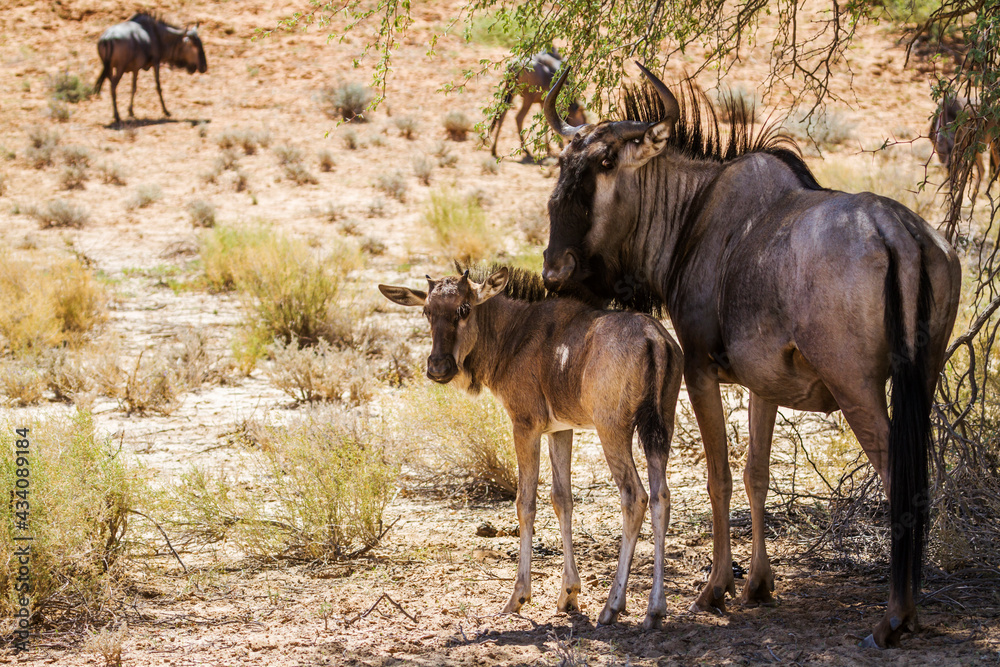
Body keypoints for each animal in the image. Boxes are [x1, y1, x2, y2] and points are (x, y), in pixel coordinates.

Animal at [378, 268, 684, 632]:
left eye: (464, 309)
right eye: (426, 311)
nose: (438, 367)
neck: (515, 335)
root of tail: (653, 337)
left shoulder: (525, 426)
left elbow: (525, 503)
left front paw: (517, 597)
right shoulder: (561, 429)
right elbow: (562, 500)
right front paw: (568, 595)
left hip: (613, 430)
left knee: (634, 496)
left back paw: (613, 605)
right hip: (660, 429)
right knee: (661, 497)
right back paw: (655, 608)